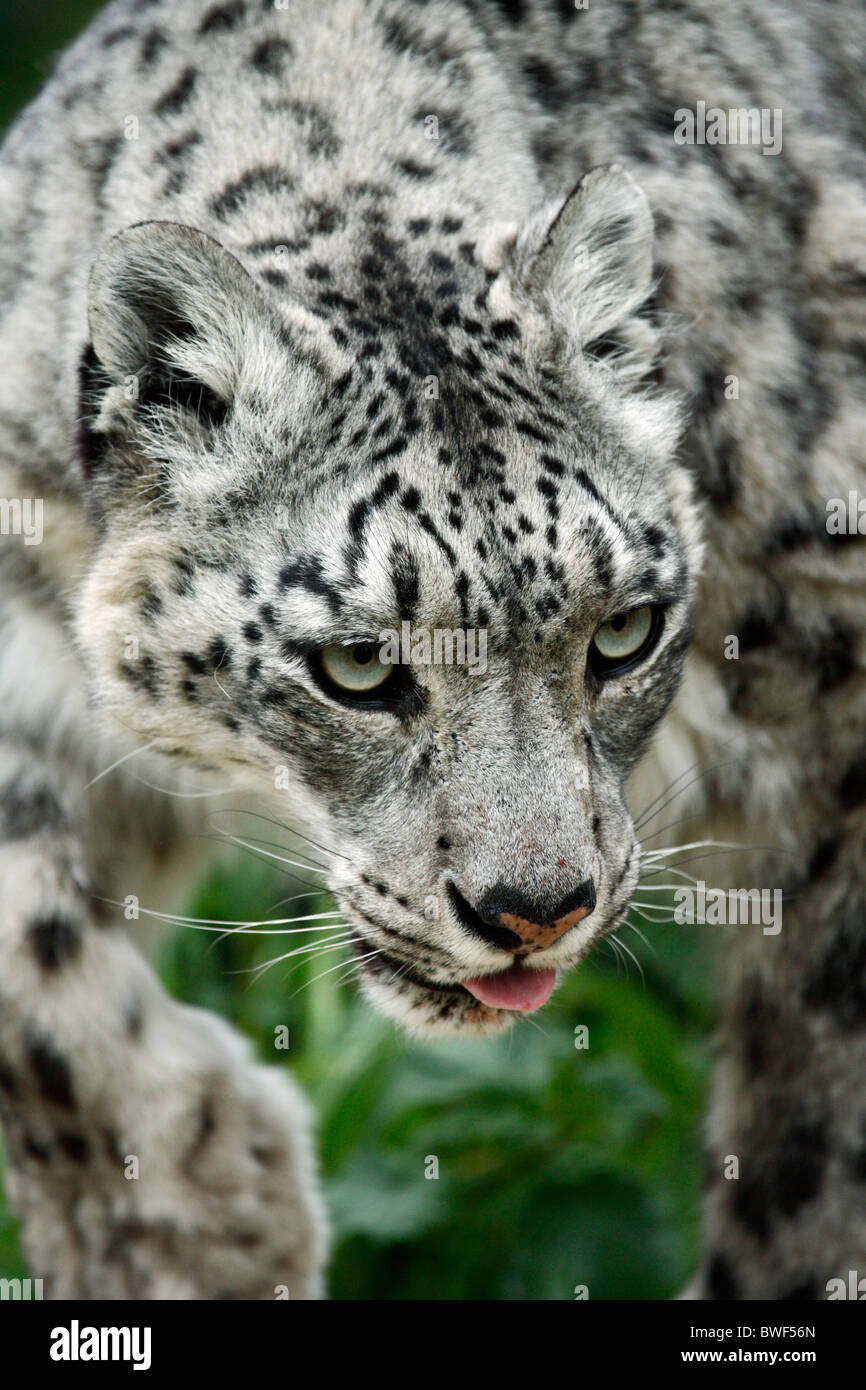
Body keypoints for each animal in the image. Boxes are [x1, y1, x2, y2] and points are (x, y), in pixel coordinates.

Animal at [0, 0, 861, 1301]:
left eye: (623, 631)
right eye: (356, 666)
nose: (532, 910)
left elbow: (813, 1115)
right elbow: (23, 940)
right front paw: (195, 1219)